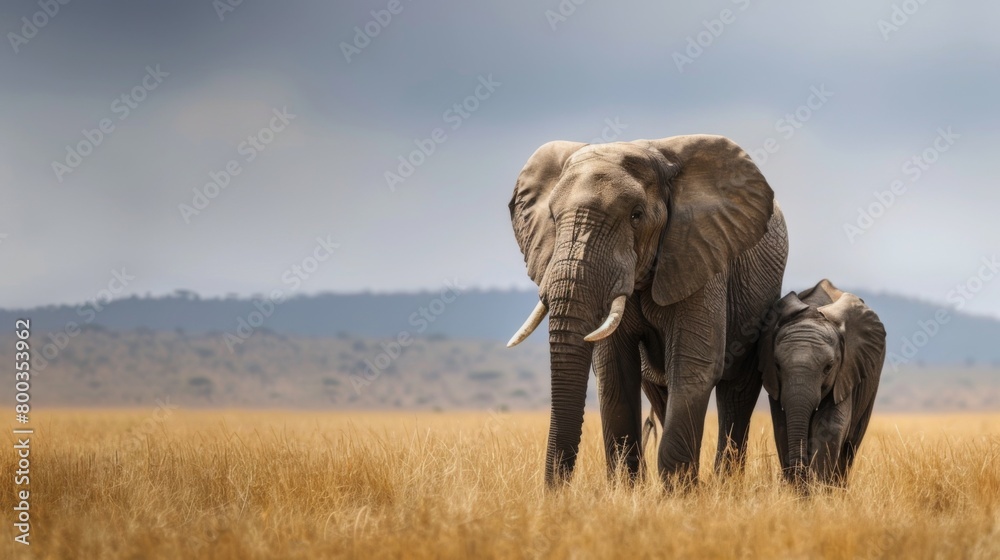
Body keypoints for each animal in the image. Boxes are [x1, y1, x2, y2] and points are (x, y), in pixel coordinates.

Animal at [506, 134, 788, 487]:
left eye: (636, 216)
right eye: (554, 219)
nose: (556, 494)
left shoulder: (699, 253)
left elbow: (693, 364)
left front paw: (679, 493)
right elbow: (615, 372)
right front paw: (628, 491)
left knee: (737, 394)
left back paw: (725, 484)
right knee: (661, 394)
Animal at [758, 279, 886, 487]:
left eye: (829, 367)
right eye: (777, 365)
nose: (800, 475)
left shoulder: (846, 372)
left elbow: (830, 425)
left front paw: (818, 488)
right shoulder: (774, 382)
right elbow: (781, 425)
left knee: (852, 443)